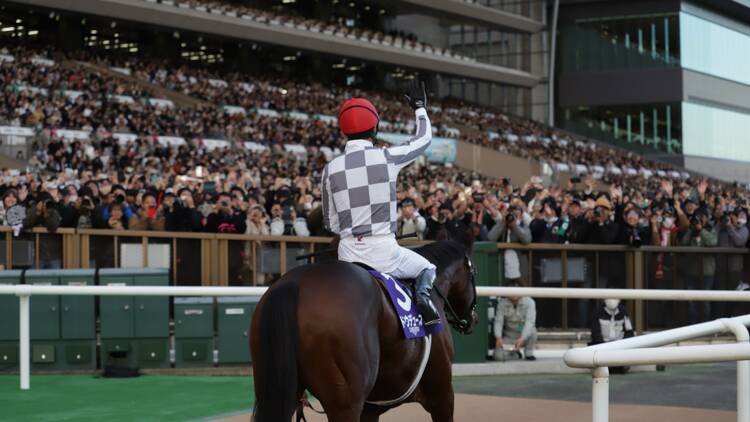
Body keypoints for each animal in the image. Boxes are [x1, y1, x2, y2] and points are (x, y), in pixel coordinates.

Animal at [250, 240, 478, 422]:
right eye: (473, 275)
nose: (472, 319)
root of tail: (297, 283)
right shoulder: (442, 395)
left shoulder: (370, 410)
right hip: (345, 403)